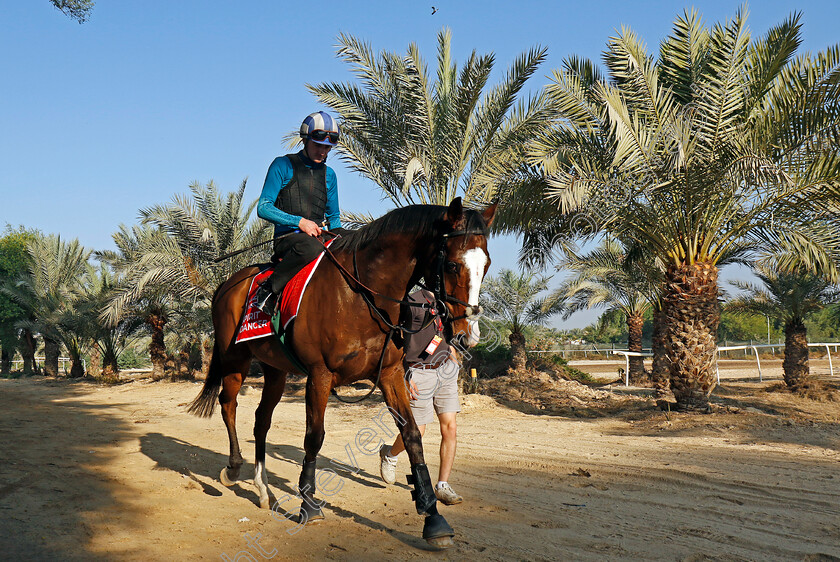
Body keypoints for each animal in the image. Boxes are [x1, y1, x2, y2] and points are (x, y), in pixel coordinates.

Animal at [187, 195, 496, 544]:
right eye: (453, 265)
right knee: (228, 405)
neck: (361, 296)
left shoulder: (390, 375)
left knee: (261, 420)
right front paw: (309, 506)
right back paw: (233, 468)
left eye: (486, 265)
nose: (468, 335)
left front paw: (432, 516)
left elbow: (412, 436)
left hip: (275, 371)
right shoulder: (319, 376)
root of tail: (227, 284)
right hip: (235, 360)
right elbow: (314, 438)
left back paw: (264, 489)